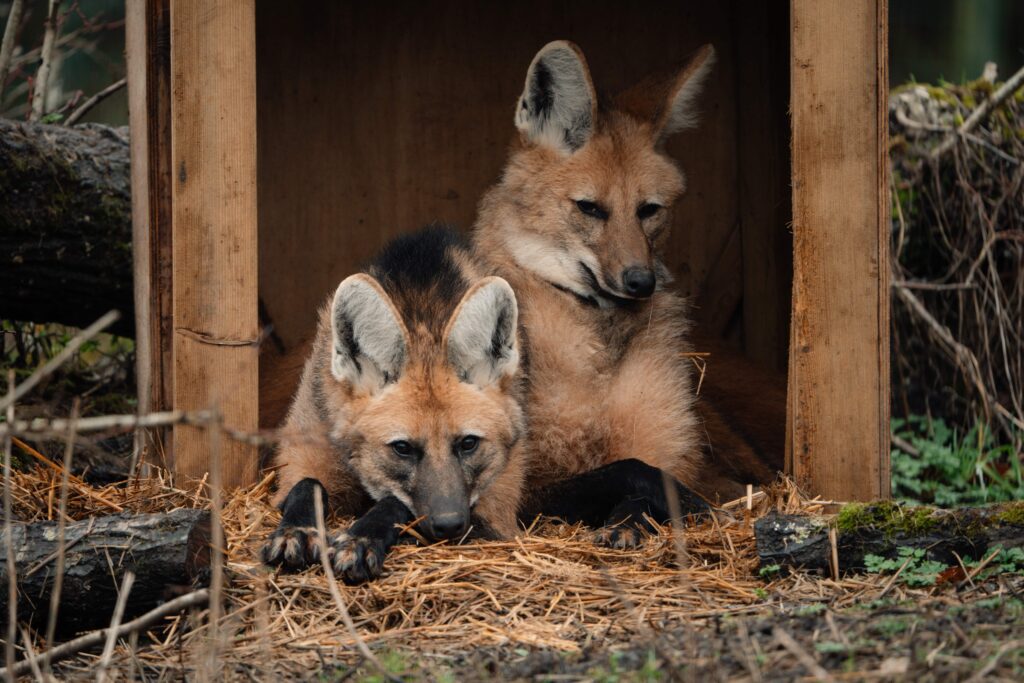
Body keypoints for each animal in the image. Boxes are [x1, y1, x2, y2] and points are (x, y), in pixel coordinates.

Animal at [261, 227, 526, 583]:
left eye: (468, 443)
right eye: (402, 448)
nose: (449, 525)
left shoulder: (495, 519)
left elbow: (397, 505)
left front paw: (360, 540)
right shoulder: (304, 451)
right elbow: (307, 484)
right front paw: (296, 533)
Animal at [473, 41, 783, 542]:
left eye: (649, 210)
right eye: (590, 208)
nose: (641, 281)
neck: (599, 351)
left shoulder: (687, 459)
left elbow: (657, 471)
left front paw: (636, 519)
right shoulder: (521, 494)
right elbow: (627, 470)